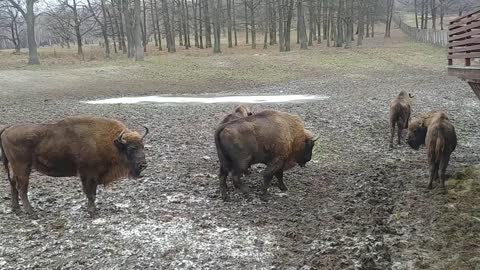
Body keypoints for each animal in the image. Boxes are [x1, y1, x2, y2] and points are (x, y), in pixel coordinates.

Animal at [0, 116, 148, 217]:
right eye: (131, 148)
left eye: (142, 146)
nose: (144, 164)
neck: (112, 143)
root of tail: (8, 129)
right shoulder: (89, 174)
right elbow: (90, 194)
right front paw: (92, 211)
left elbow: (92, 193)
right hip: (23, 167)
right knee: (22, 188)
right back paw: (31, 212)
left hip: (17, 168)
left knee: (13, 184)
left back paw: (16, 209)